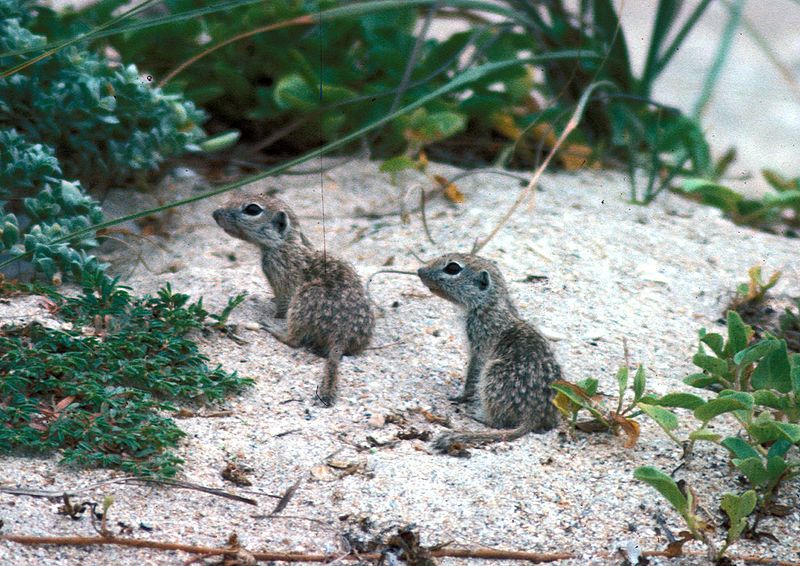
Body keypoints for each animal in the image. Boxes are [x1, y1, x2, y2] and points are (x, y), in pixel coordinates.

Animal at [212, 197, 376, 406]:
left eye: (252, 210)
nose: (215, 213)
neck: (285, 243)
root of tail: (341, 336)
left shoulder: (279, 276)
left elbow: (282, 304)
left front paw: (275, 315)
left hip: (303, 301)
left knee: (294, 340)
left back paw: (273, 328)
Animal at [416, 254, 560, 452]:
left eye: (452, 268)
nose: (419, 271)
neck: (490, 304)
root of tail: (533, 414)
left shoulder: (478, 342)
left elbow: (473, 370)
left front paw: (461, 396)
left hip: (493, 373)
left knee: (498, 423)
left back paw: (478, 416)